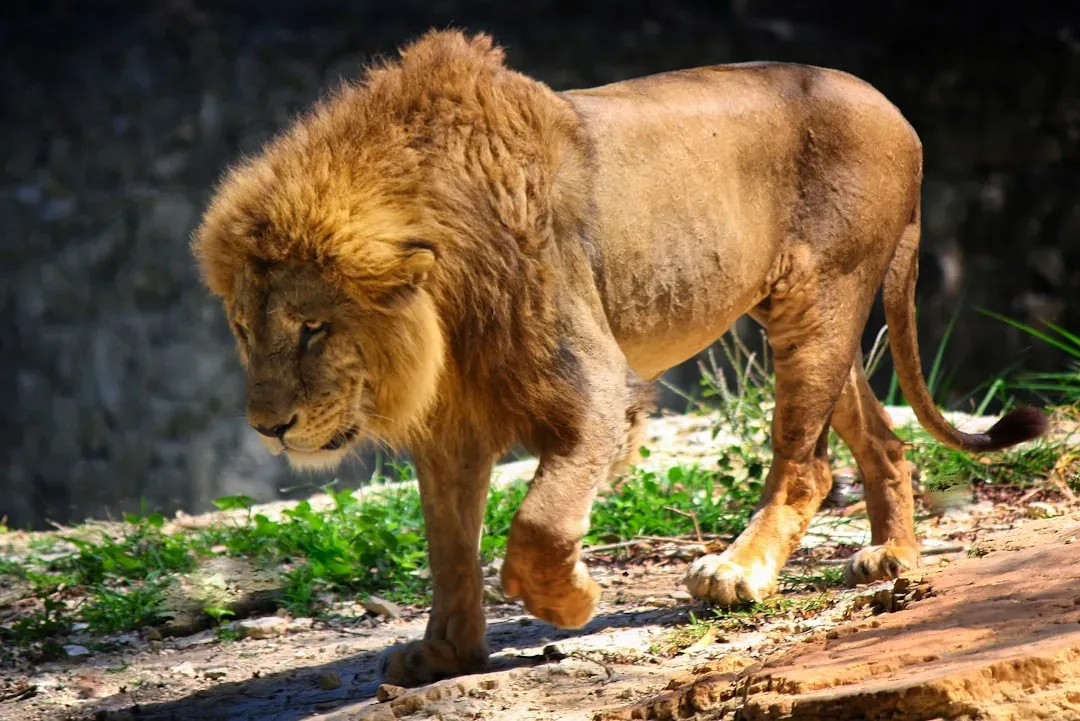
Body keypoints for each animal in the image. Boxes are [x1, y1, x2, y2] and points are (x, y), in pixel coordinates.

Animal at [191, 30, 1047, 687]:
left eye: (313, 328)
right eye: (241, 327)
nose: (268, 426)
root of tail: (895, 110)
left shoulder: (598, 393)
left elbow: (537, 526)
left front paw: (570, 600)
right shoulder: (450, 425)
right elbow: (448, 548)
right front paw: (446, 653)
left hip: (821, 298)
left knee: (805, 465)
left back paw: (737, 572)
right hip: (808, 317)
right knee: (885, 440)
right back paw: (891, 555)